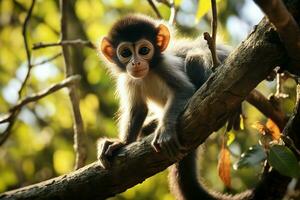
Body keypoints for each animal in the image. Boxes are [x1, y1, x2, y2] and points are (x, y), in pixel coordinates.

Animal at [98, 14, 227, 167]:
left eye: (144, 50)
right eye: (125, 53)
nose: (136, 63)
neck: (147, 74)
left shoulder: (164, 66)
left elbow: (183, 90)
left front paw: (165, 130)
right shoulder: (128, 79)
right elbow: (138, 108)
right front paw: (122, 142)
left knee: (195, 56)